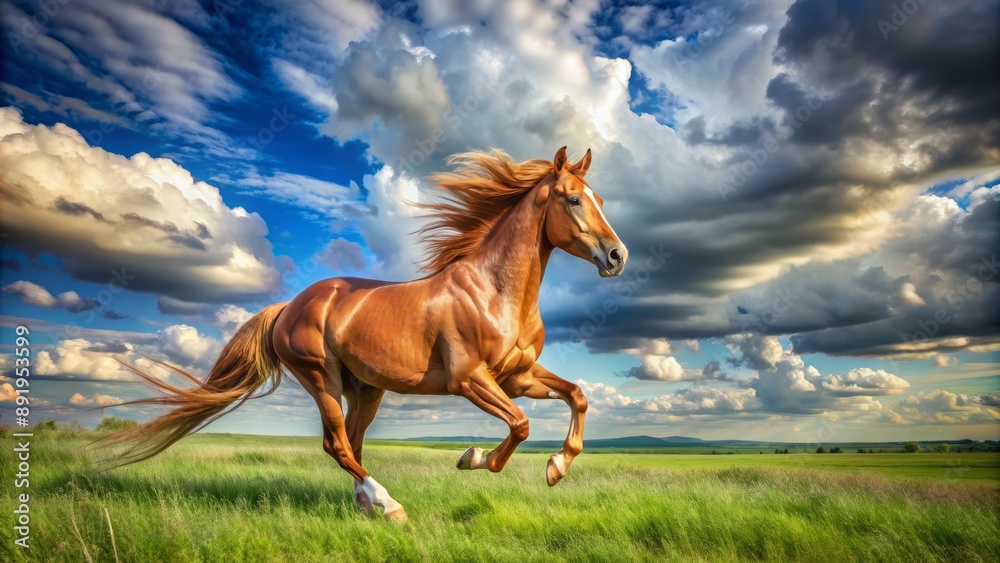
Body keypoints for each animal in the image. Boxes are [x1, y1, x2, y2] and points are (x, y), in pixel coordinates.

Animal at [104, 146, 628, 522]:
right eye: (573, 199)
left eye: (601, 200)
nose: (617, 255)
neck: (493, 291)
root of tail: (288, 307)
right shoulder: (469, 379)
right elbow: (519, 425)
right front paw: (472, 457)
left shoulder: (517, 376)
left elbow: (577, 396)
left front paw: (557, 466)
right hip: (322, 378)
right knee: (336, 444)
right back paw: (389, 504)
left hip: (367, 389)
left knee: (351, 445)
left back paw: (367, 504)